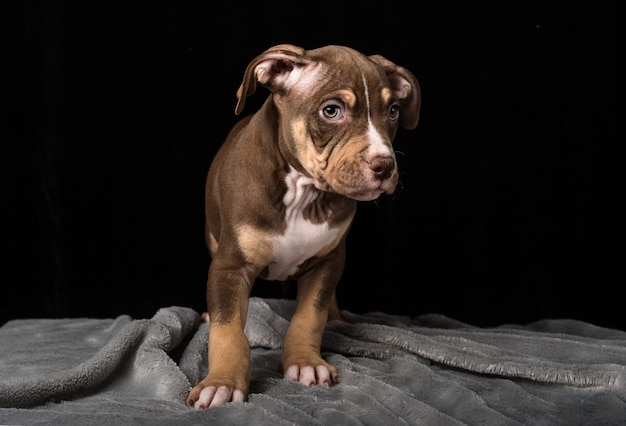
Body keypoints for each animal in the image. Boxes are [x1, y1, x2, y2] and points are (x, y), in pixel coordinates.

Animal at [185, 44, 420, 410]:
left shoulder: (328, 261)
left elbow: (309, 316)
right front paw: (221, 383)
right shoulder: (230, 266)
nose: (384, 165)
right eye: (331, 111)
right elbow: (228, 330)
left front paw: (305, 363)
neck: (302, 193)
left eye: (393, 111)